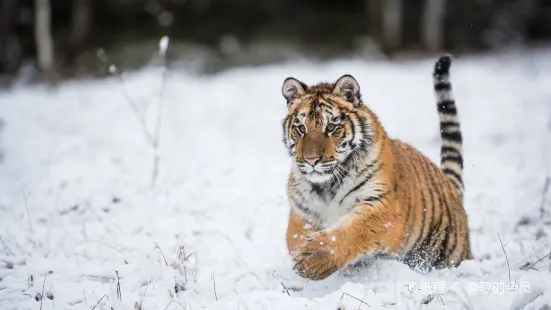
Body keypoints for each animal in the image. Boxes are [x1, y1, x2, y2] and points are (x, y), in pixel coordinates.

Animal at [282, 54, 472, 280]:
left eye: (331, 127)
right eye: (300, 129)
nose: (311, 160)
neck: (326, 186)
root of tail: (450, 185)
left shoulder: (382, 205)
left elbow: (352, 230)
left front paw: (313, 260)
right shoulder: (302, 213)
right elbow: (294, 239)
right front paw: (300, 258)